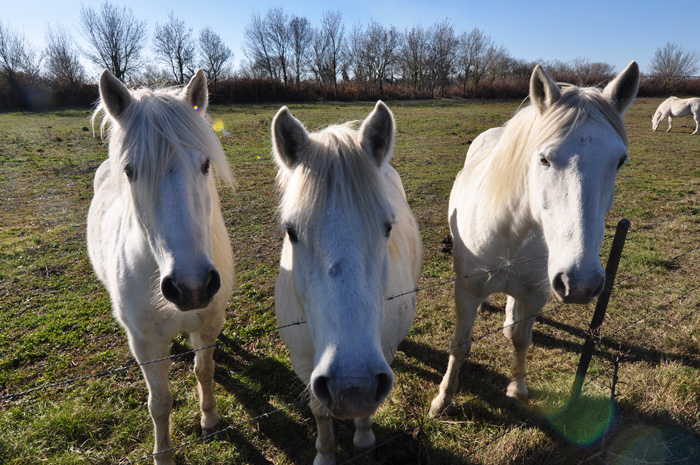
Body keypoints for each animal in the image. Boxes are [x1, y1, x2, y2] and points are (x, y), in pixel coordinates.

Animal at [87, 69, 235, 465]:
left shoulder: (210, 322)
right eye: (130, 171)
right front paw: (163, 454)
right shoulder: (145, 343)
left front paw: (209, 419)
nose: (192, 287)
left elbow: (204, 370)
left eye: (205, 165)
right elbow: (161, 403)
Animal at [272, 101, 422, 464]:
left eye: (388, 227)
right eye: (291, 232)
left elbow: (366, 414)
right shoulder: (303, 362)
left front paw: (364, 439)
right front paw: (325, 453)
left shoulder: (382, 355)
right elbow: (319, 410)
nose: (353, 386)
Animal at [429, 61, 640, 418]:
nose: (580, 282)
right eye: (544, 159)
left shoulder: (536, 294)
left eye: (620, 162)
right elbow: (461, 344)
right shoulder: (466, 291)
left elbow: (521, 340)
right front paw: (443, 399)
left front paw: (518, 388)